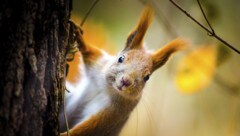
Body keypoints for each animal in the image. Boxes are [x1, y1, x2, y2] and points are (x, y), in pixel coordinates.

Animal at [59, 6, 188, 136]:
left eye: (147, 77)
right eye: (121, 58)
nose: (126, 81)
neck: (108, 88)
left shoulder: (114, 114)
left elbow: (89, 128)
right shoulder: (98, 65)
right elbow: (89, 52)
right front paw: (78, 35)